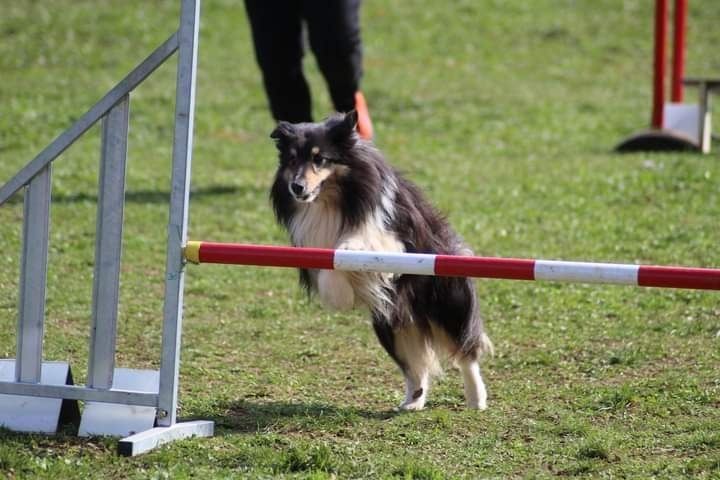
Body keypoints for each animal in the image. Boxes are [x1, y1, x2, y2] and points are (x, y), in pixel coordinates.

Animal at [268, 110, 492, 410]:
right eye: (292, 159)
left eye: (320, 159)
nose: (297, 187)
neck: (332, 200)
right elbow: (329, 268)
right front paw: (340, 296)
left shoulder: (392, 236)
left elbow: (359, 242)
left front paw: (349, 249)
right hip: (390, 323)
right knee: (415, 367)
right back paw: (413, 402)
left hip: (447, 302)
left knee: (466, 351)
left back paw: (476, 397)